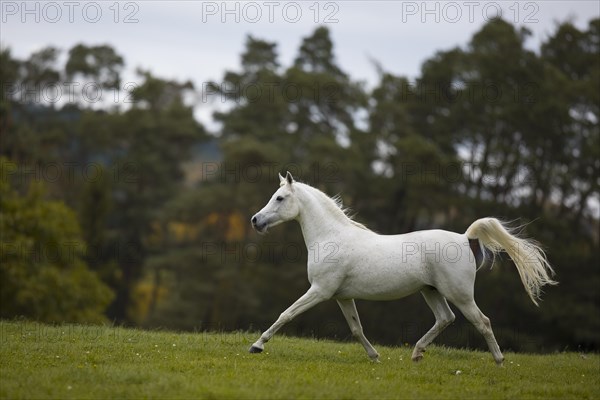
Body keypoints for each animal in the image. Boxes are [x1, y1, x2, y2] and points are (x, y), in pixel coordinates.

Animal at [246, 170, 556, 364]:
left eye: (280, 198)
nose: (255, 220)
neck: (331, 236)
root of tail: (465, 238)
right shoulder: (341, 297)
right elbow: (356, 329)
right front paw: (374, 357)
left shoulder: (320, 291)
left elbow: (286, 314)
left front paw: (257, 345)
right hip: (431, 291)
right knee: (445, 318)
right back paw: (417, 354)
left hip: (460, 294)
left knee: (482, 321)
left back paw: (499, 361)